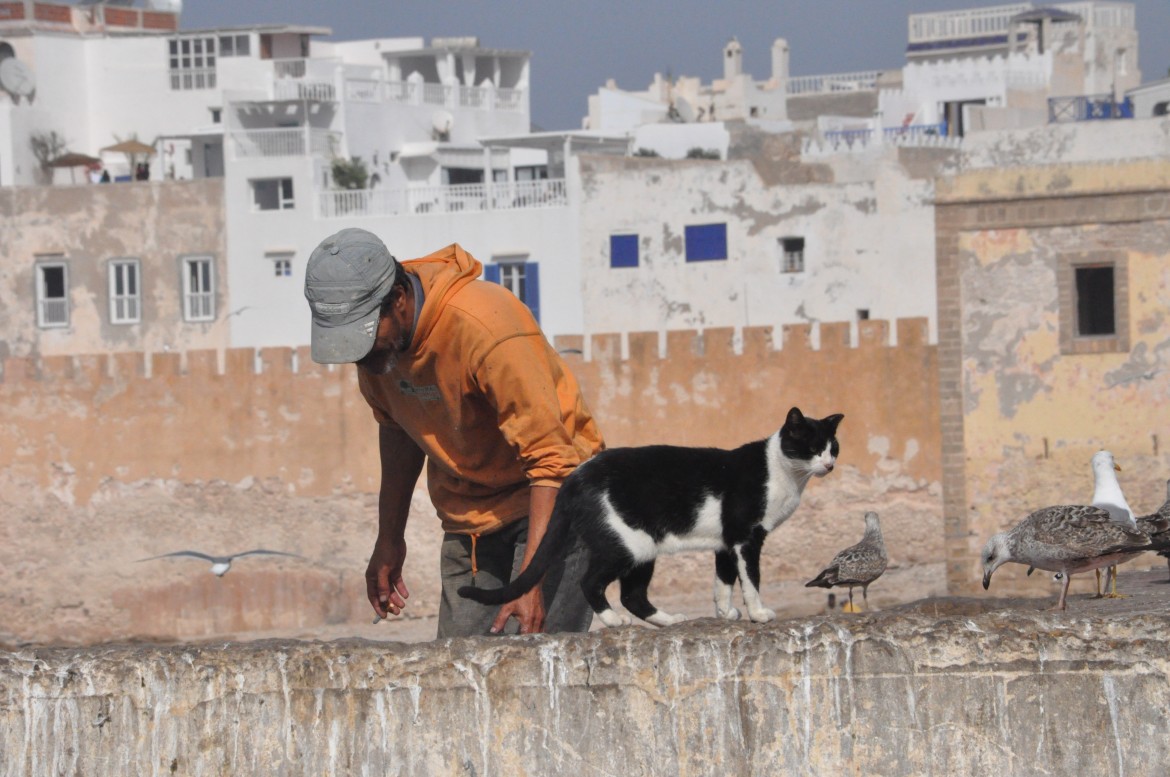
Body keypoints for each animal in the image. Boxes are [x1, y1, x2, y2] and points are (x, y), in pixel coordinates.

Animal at [456, 409, 842, 627]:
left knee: (633, 595)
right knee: (591, 582)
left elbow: (723, 581)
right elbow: (751, 580)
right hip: (629, 545)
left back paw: (668, 620)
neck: (784, 474)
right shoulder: (747, 538)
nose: (829, 465)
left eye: (833, 448)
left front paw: (725, 613)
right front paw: (758, 613)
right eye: (812, 448)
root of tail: (574, 477)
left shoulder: (725, 542)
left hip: (643, 550)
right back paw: (614, 620)